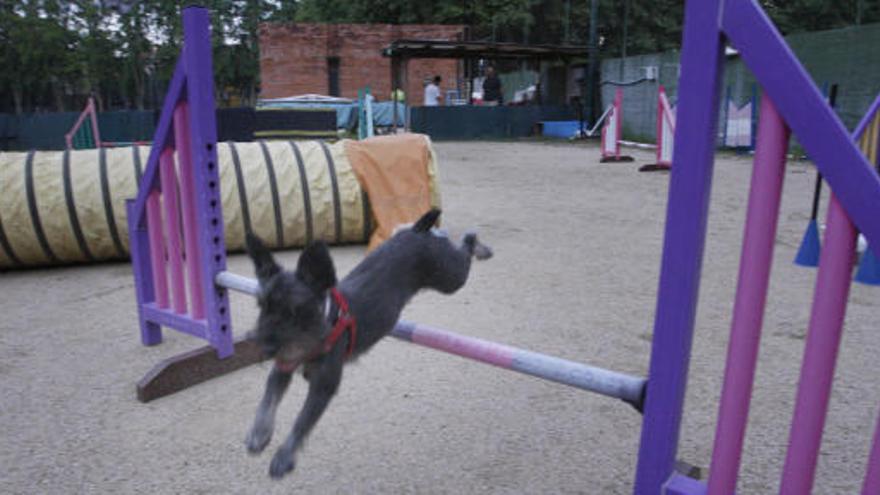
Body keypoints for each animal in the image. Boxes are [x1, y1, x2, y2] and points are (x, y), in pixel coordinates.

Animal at [244, 209, 492, 480]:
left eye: (295, 311)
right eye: (261, 306)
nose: (262, 347)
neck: (324, 325)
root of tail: (418, 231)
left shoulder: (323, 387)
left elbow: (302, 420)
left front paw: (283, 457)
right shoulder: (283, 368)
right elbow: (267, 400)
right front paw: (258, 433)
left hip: (450, 277)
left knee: (466, 244)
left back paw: (481, 248)